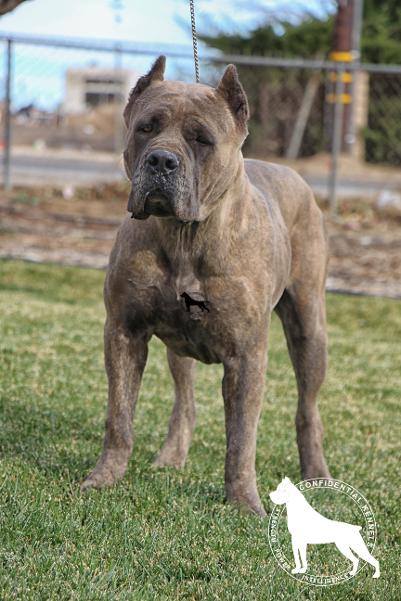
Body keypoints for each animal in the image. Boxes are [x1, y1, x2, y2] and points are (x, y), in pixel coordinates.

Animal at [80, 57, 328, 516]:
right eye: (145, 128)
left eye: (202, 139)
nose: (161, 161)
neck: (185, 236)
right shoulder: (124, 332)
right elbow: (119, 417)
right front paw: (104, 479)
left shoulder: (247, 356)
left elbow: (241, 438)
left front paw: (245, 503)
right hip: (178, 347)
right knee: (186, 401)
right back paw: (171, 456)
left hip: (309, 329)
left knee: (308, 408)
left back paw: (317, 472)